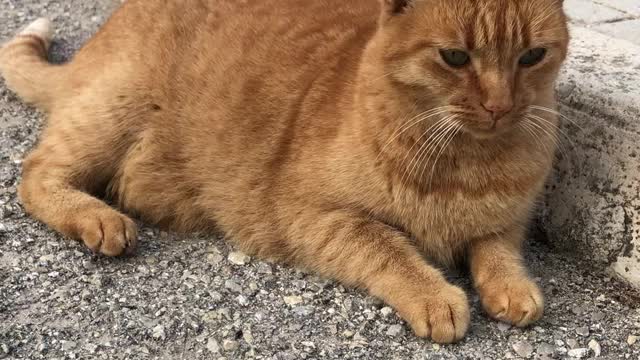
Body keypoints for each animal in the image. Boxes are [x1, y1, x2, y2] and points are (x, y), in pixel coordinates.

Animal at [0, 0, 568, 344]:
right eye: (454, 58)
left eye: (532, 57)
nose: (499, 106)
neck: (467, 162)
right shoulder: (317, 217)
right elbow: (390, 248)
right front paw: (435, 296)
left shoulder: (508, 219)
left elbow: (497, 249)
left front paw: (512, 288)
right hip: (112, 112)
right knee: (35, 173)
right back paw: (100, 220)